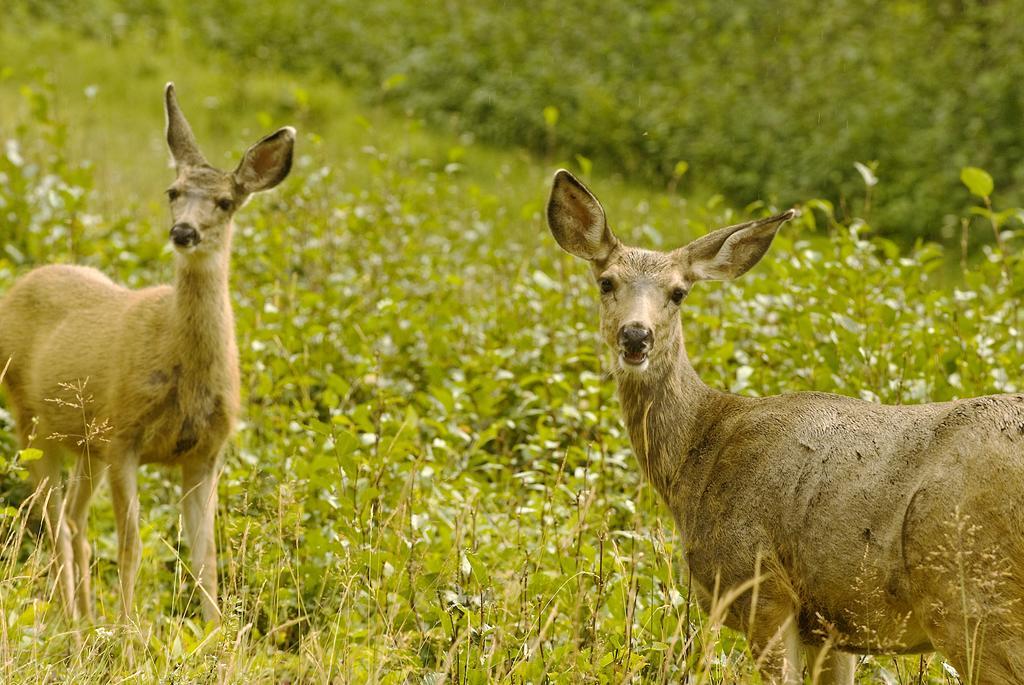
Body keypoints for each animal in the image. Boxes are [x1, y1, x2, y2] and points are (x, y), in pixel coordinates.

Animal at [0, 82, 296, 622]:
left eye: (225, 201)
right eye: (172, 192)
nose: (184, 232)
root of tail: (18, 286)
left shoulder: (206, 453)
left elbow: (205, 558)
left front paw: (215, 635)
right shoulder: (124, 435)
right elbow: (131, 545)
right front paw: (128, 634)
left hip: (85, 442)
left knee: (73, 521)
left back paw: (84, 622)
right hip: (31, 420)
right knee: (54, 524)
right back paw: (76, 624)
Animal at [548, 166, 1024, 683]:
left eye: (678, 292)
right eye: (606, 282)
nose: (636, 336)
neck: (700, 448)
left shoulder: (759, 583)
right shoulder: (830, 622)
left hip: (969, 593)